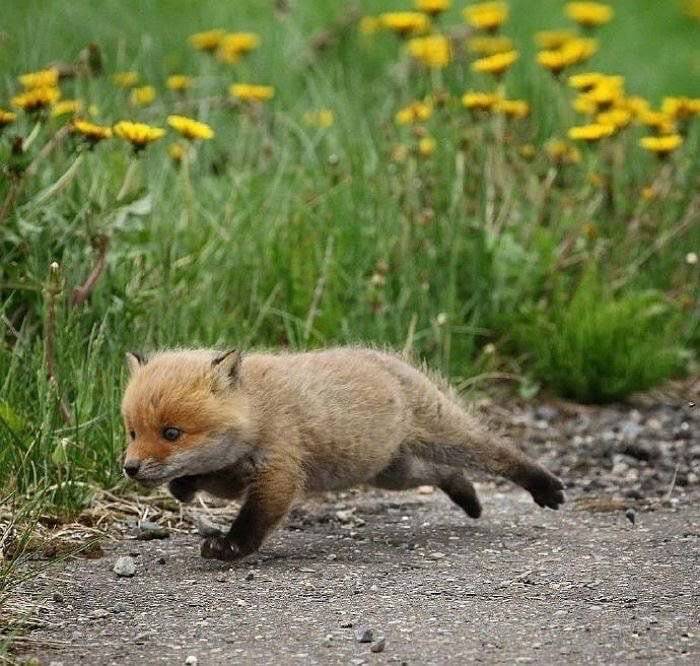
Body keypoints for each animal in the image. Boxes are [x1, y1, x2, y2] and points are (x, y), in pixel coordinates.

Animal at [121, 348, 564, 560]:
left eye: (171, 433)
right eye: (133, 432)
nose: (129, 468)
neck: (258, 411)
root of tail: (389, 358)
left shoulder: (280, 472)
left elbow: (254, 521)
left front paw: (230, 547)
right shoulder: (235, 473)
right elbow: (205, 479)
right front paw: (183, 486)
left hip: (445, 438)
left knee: (497, 452)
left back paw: (543, 486)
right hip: (392, 471)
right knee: (444, 474)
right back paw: (468, 497)